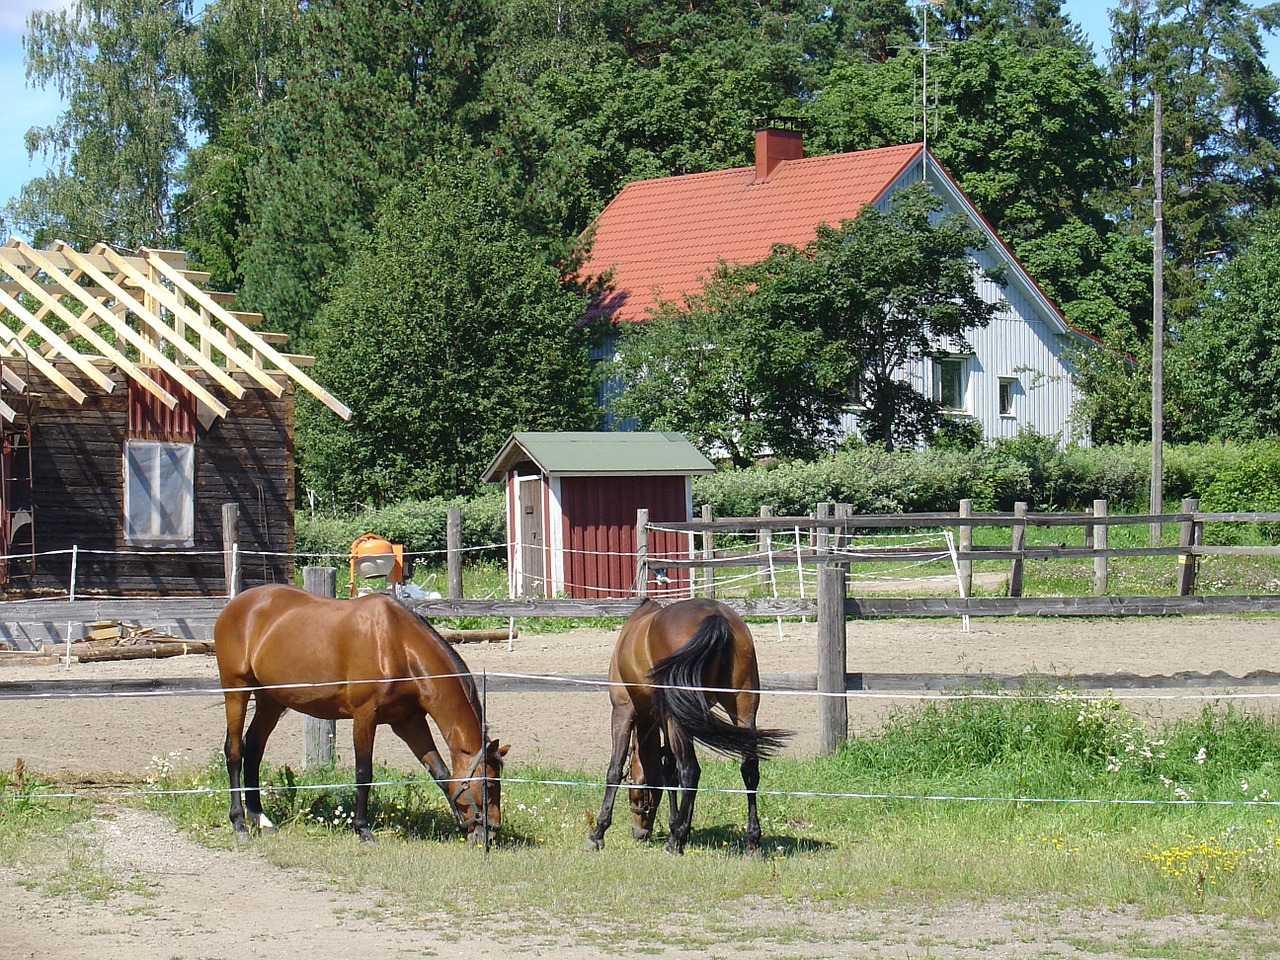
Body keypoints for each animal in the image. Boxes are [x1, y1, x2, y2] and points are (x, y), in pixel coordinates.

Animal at [213, 583, 504, 844]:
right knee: (235, 750)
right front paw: (363, 829)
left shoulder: (409, 722)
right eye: (489, 785)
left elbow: (441, 773)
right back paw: (239, 823)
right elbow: (364, 773)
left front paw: (459, 822)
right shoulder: (365, 715)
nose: (490, 833)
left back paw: (260, 817)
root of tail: (235, 605)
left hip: (270, 701)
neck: (397, 644)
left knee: (254, 749)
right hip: (237, 690)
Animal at [583, 601, 783, 855]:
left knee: (691, 770)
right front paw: (677, 825)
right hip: (743, 709)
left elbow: (615, 770)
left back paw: (674, 843)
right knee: (749, 769)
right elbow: (669, 771)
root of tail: (716, 616)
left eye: (634, 786)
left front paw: (598, 833)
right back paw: (752, 841)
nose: (640, 832)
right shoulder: (664, 719)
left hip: (678, 719)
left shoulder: (623, 710)